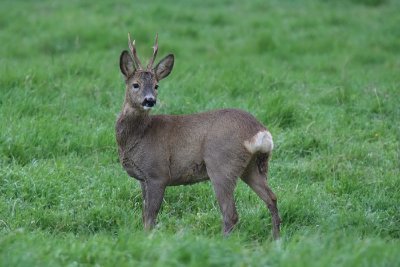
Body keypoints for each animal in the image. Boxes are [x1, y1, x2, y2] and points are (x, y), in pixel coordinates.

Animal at [115, 33, 282, 241]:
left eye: (156, 85)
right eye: (135, 84)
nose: (149, 100)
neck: (139, 136)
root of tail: (259, 131)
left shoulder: (157, 173)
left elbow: (150, 218)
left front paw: (148, 239)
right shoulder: (143, 178)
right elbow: (145, 215)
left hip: (221, 164)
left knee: (230, 213)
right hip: (253, 166)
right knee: (272, 198)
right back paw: (276, 239)